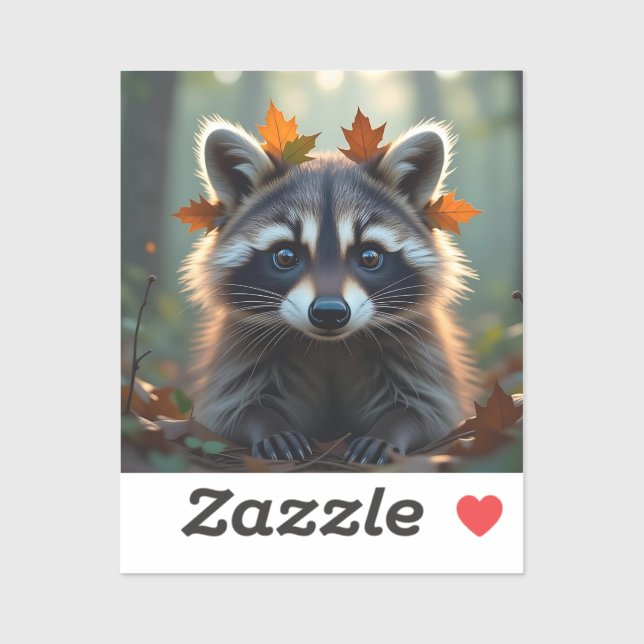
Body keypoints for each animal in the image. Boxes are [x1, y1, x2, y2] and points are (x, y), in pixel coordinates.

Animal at [181, 115, 478, 464]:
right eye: (285, 256)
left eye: (369, 256)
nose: (329, 312)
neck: (331, 346)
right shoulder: (240, 349)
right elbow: (232, 408)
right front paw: (269, 426)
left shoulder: (419, 347)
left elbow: (428, 411)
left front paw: (389, 431)